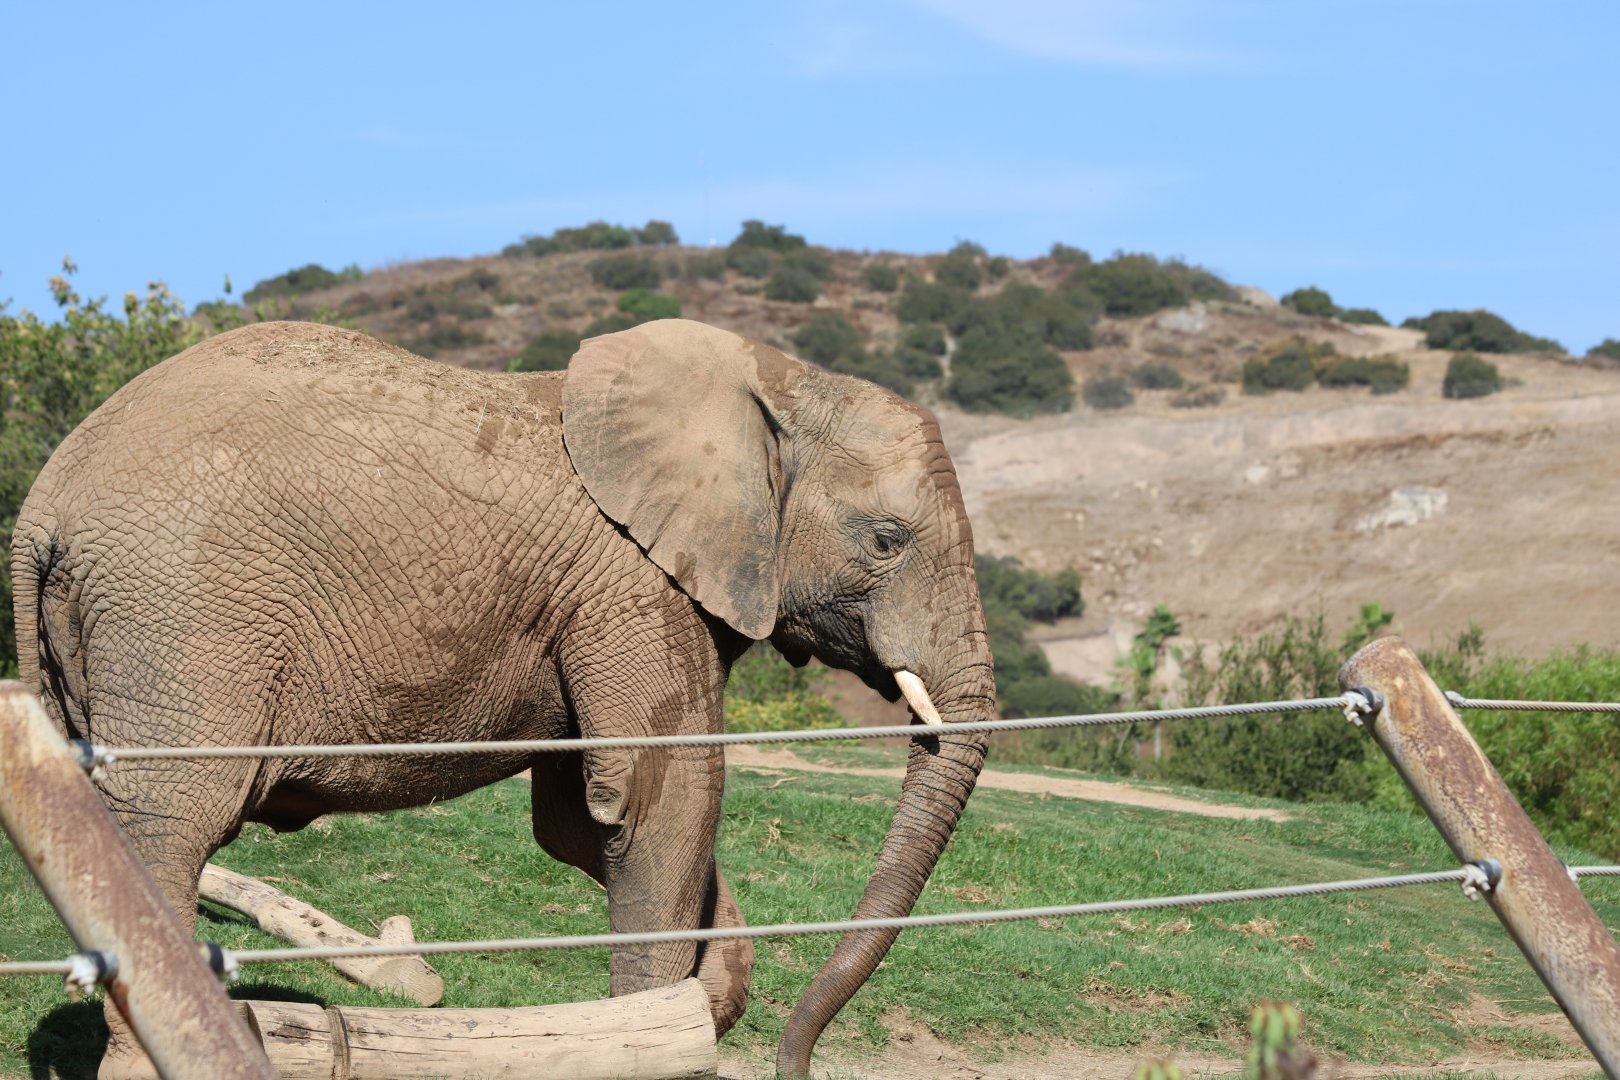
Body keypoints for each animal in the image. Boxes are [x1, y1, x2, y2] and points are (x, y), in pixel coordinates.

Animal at [10, 317, 993, 1077]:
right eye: (887, 539)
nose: (798, 1060)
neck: (776, 381)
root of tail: (42, 506)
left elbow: (581, 820)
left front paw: (706, 998)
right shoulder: (634, 587)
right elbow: (658, 801)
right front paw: (667, 1030)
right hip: (182, 614)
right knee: (168, 830)